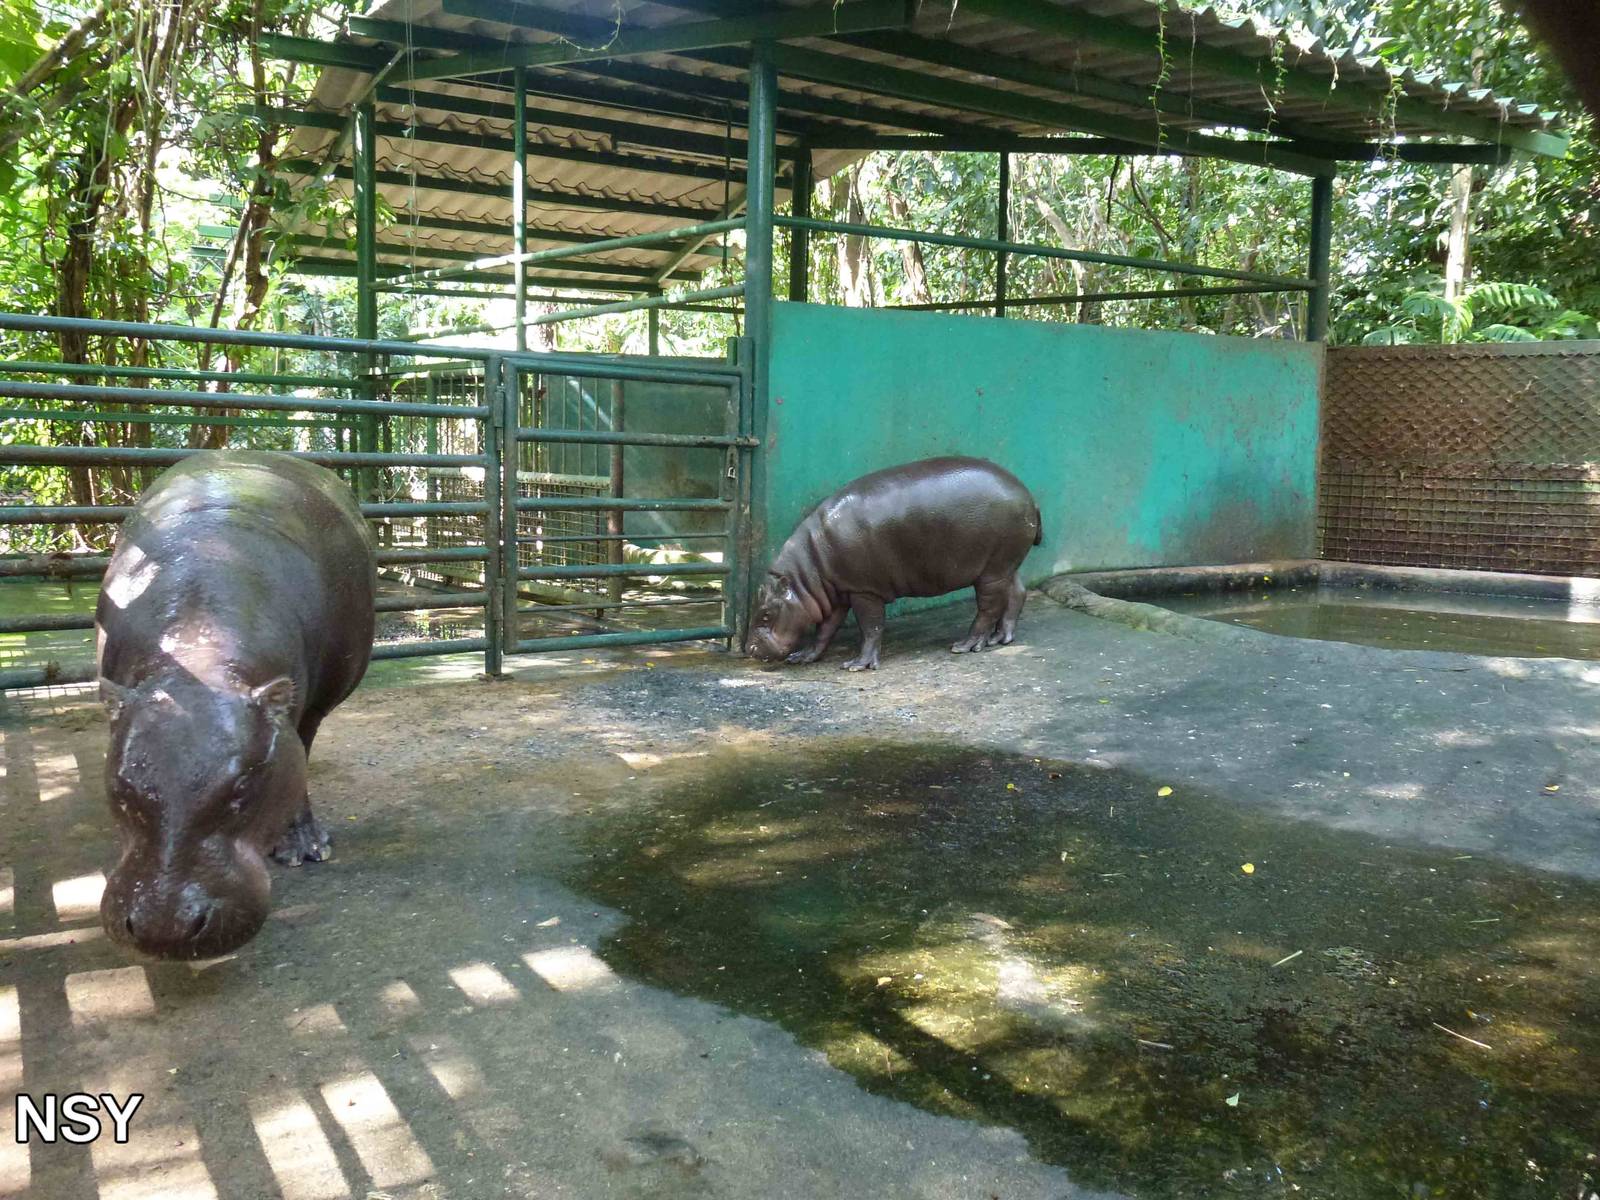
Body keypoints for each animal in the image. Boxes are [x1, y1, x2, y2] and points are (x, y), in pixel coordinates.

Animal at [746, 456, 1041, 671]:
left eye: (765, 614)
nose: (749, 649)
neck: (807, 573)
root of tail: (1029, 496)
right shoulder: (838, 592)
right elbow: (825, 629)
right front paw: (803, 656)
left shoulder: (864, 590)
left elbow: (871, 626)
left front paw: (858, 665)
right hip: (1004, 564)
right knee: (1016, 592)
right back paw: (1000, 638)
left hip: (991, 572)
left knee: (988, 608)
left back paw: (966, 645)